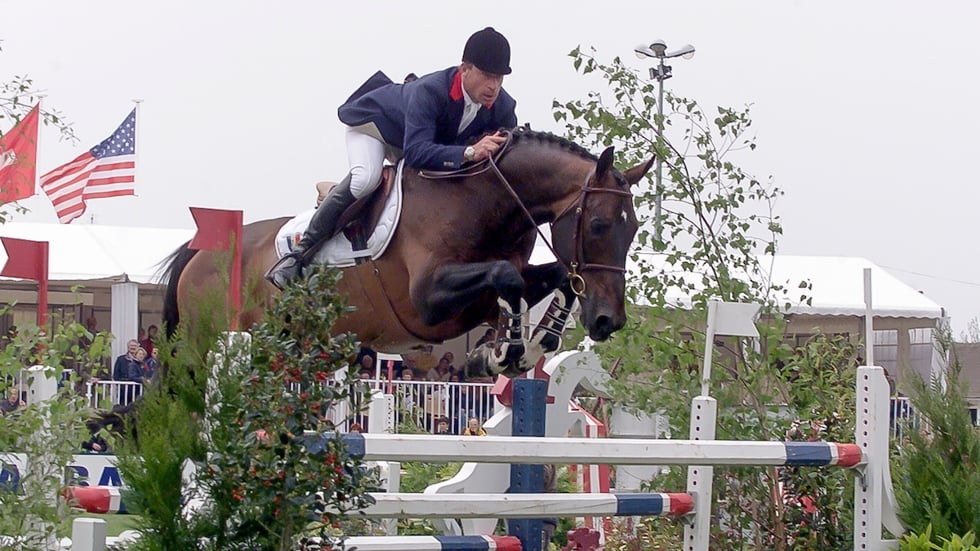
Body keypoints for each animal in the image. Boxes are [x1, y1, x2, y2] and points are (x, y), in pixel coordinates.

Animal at [163, 129, 652, 378]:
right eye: (599, 225)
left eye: (634, 230)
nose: (609, 321)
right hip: (207, 343)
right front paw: (505, 353)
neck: (484, 200)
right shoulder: (427, 301)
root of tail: (199, 255)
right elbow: (506, 277)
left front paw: (526, 347)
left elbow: (551, 280)